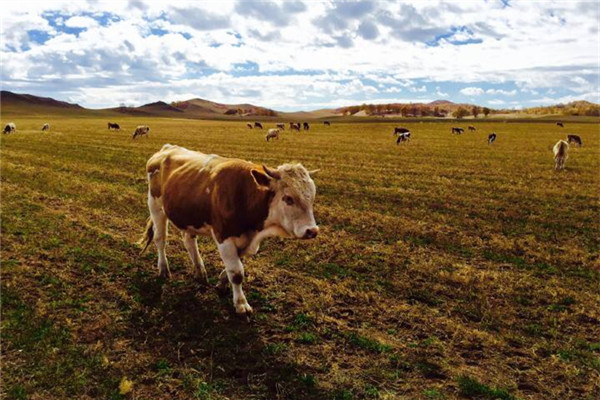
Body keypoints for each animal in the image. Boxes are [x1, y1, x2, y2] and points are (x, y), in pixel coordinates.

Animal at [139, 145, 318, 314]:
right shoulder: (223, 237)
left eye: (312, 198)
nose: (312, 231)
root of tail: (167, 148)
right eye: (288, 198)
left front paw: (221, 283)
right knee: (160, 239)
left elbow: (234, 266)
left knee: (189, 241)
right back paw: (163, 268)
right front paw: (241, 304)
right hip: (155, 206)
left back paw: (200, 271)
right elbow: (237, 272)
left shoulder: (246, 240)